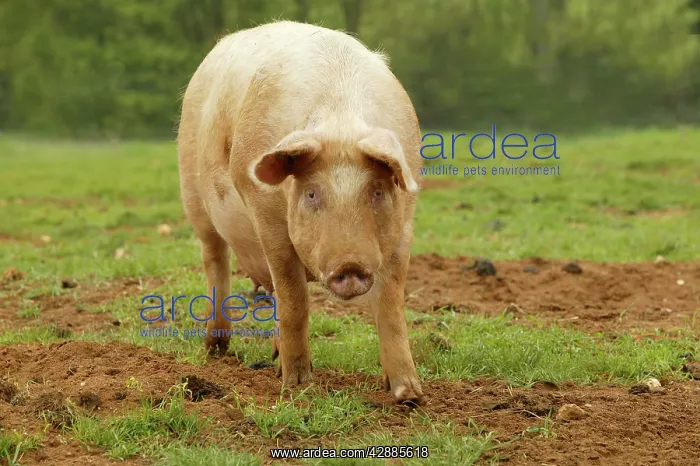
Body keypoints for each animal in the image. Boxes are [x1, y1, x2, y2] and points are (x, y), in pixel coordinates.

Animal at [176, 20, 423, 404]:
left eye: (377, 191)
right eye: (311, 193)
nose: (350, 265)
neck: (340, 121)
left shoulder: (404, 226)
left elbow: (390, 302)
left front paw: (408, 394)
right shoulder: (268, 219)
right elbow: (295, 299)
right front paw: (297, 386)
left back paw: (274, 357)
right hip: (193, 196)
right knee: (216, 261)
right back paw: (216, 350)